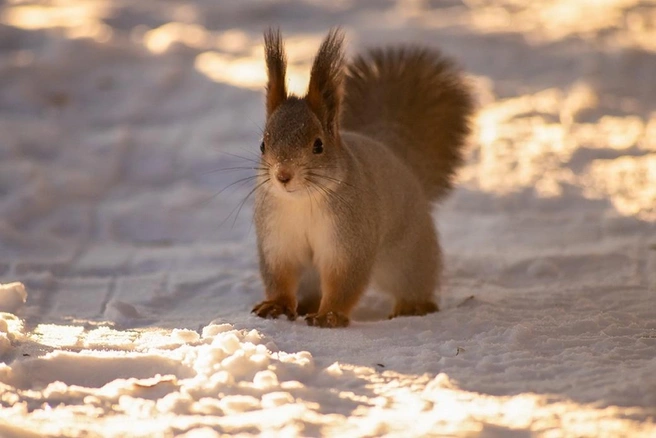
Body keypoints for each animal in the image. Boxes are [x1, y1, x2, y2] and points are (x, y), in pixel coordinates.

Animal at [250, 28, 472, 328]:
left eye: (318, 145)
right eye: (263, 145)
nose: (283, 175)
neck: (302, 201)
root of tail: (396, 155)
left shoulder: (350, 241)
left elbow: (344, 281)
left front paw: (330, 315)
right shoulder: (277, 239)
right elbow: (279, 277)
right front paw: (276, 305)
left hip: (408, 256)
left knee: (414, 279)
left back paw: (412, 305)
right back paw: (307, 305)